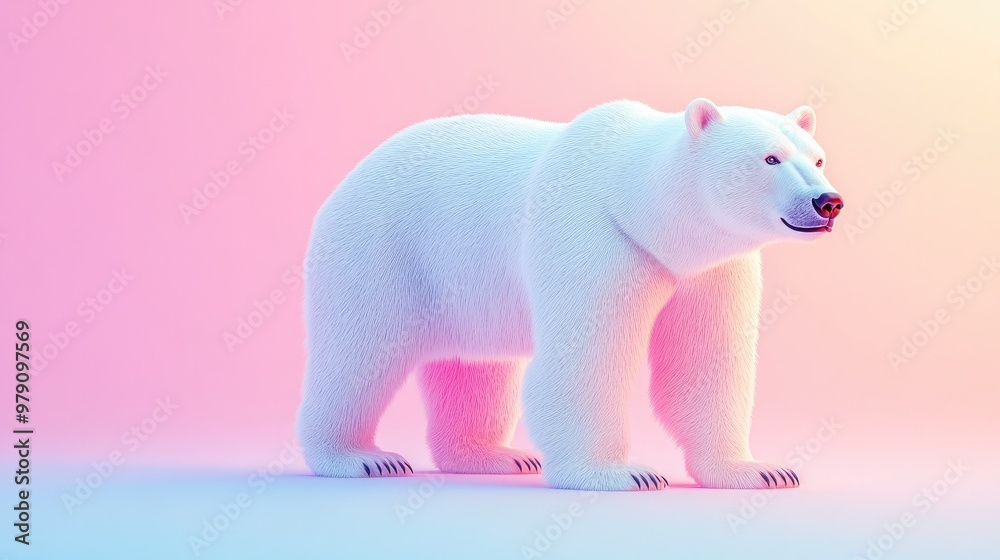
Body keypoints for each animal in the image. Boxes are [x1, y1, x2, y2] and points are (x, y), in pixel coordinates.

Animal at [296, 98, 843, 491]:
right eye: (770, 158)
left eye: (818, 157)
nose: (828, 201)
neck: (638, 205)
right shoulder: (594, 237)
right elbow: (586, 356)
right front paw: (621, 472)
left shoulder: (708, 270)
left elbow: (704, 362)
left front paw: (760, 470)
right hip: (384, 247)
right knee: (360, 352)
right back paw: (360, 458)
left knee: (476, 369)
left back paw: (497, 456)